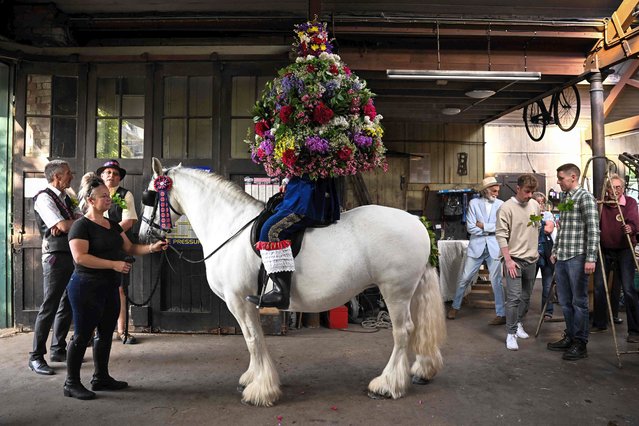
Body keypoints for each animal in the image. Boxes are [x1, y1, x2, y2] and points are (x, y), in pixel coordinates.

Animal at [138, 157, 448, 406]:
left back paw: (387, 385)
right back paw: (421, 371)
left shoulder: (238, 301)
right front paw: (254, 378)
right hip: (410, 291)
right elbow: (256, 338)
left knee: (403, 332)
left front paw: (261, 390)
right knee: (418, 328)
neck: (230, 226)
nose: (144, 236)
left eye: (150, 196)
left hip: (395, 290)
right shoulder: (247, 303)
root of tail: (417, 222)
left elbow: (252, 338)